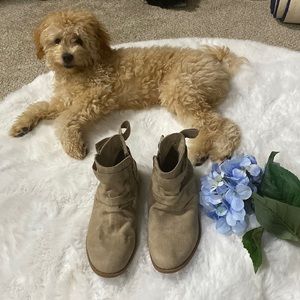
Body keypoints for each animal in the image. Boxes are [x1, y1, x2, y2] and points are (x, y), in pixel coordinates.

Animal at [9, 9, 244, 164]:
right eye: (57, 40)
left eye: (78, 40)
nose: (67, 56)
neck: (82, 68)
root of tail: (216, 62)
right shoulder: (63, 101)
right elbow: (39, 106)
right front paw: (21, 125)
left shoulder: (96, 95)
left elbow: (64, 119)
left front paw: (73, 145)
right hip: (190, 95)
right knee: (216, 123)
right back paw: (213, 151)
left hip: (179, 91)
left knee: (216, 123)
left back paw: (205, 152)